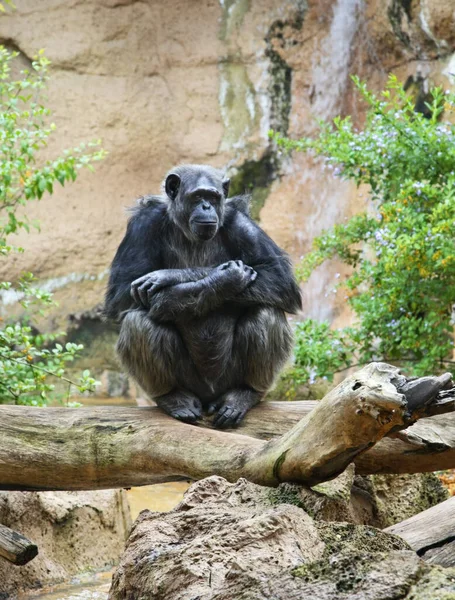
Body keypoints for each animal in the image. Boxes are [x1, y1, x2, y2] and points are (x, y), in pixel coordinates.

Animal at [104, 164, 302, 426]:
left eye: (213, 197)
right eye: (198, 196)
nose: (206, 207)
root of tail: (209, 398)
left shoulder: (242, 224)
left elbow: (278, 276)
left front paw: (168, 278)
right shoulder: (143, 224)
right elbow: (123, 291)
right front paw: (223, 278)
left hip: (228, 380)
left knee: (266, 311)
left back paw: (244, 394)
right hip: (190, 383)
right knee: (138, 321)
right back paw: (173, 398)